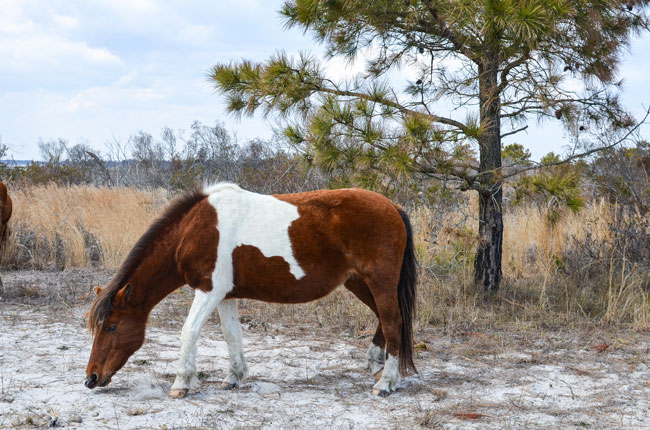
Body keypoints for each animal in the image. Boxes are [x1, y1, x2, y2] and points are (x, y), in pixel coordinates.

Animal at [86, 182, 416, 396]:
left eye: (112, 326)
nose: (91, 378)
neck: (194, 230)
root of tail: (393, 206)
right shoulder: (225, 296)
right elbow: (232, 335)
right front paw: (234, 378)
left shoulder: (208, 291)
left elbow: (189, 331)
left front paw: (181, 384)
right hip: (359, 282)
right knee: (385, 320)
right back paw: (377, 366)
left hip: (379, 282)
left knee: (393, 322)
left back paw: (385, 383)